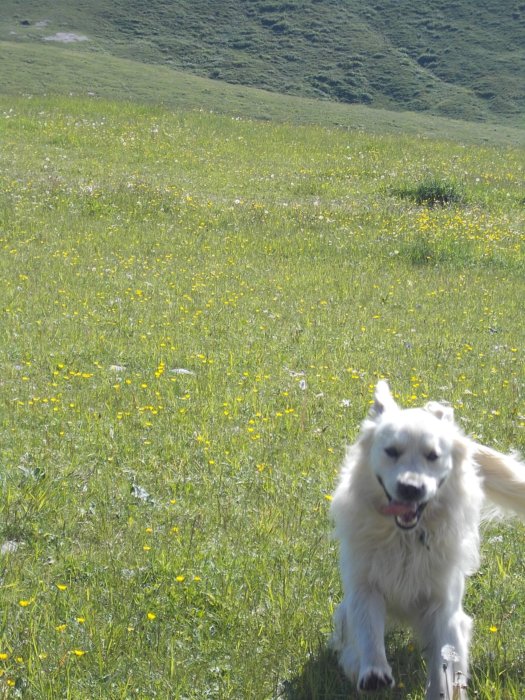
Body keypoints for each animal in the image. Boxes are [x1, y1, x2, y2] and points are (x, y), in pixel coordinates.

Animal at [330, 381, 525, 699]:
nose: (411, 488)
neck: (406, 539)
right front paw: (374, 672)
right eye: (391, 451)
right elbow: (368, 631)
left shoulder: (443, 607)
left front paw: (440, 690)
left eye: (433, 455)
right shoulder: (364, 586)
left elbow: (443, 663)